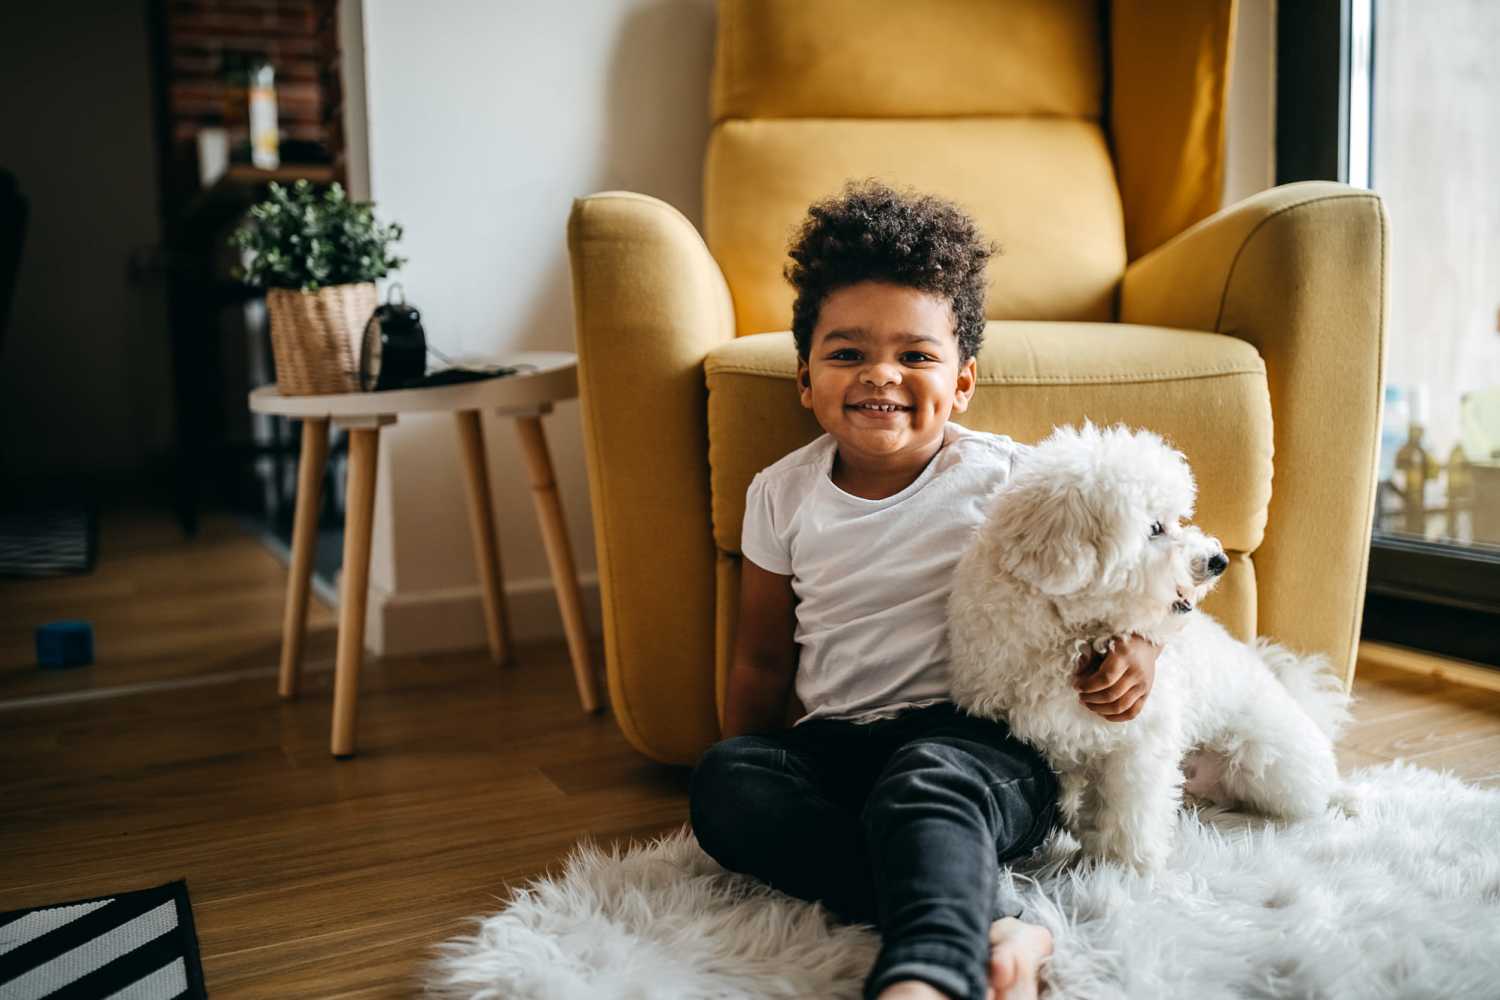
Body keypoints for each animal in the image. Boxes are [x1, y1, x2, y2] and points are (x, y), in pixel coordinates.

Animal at [954, 425, 1356, 869]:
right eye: (1154, 529)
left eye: (1176, 518)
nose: (1218, 560)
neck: (1070, 632)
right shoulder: (1048, 738)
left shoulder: (1139, 741)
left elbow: (1130, 808)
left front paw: (1123, 866)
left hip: (1268, 763)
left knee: (1315, 785)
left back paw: (1346, 799)